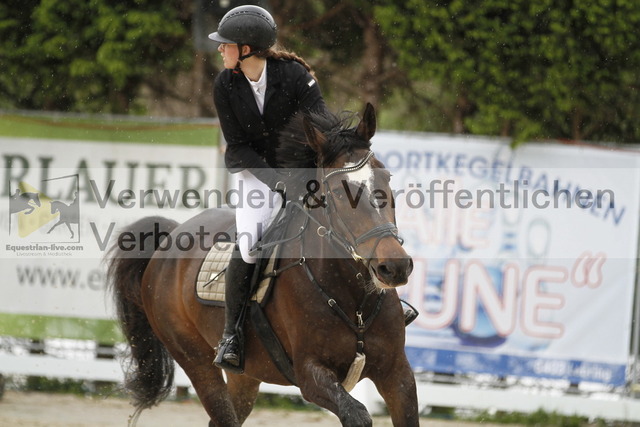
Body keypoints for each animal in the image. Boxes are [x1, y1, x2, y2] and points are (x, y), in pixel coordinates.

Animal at [106, 103, 419, 427]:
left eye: (386, 179)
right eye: (336, 193)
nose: (394, 267)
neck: (353, 300)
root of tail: (172, 235)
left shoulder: (398, 376)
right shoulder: (310, 376)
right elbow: (357, 414)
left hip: (246, 375)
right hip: (194, 359)